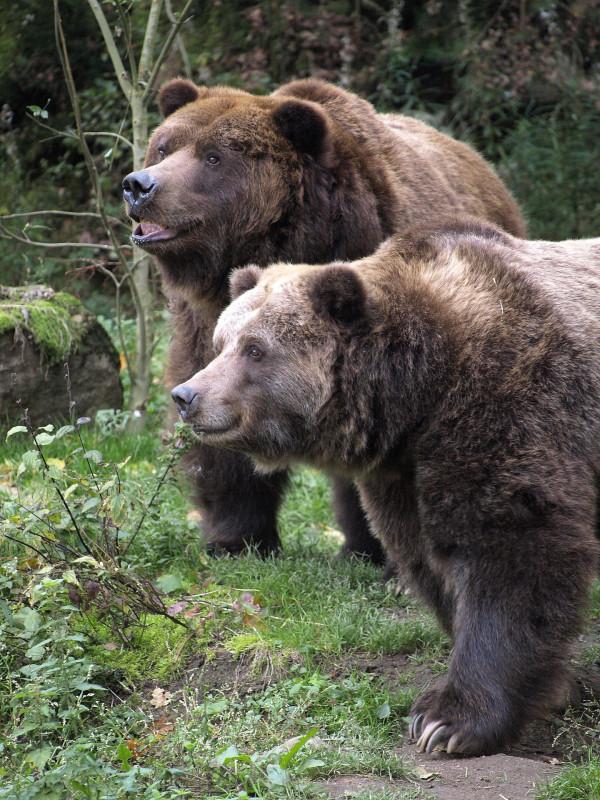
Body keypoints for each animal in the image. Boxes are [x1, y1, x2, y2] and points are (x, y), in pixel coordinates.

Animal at [123, 78, 524, 560]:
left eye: (213, 156)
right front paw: (235, 537)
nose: (139, 184)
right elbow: (220, 431)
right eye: (164, 147)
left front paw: (369, 547)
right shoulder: (203, 323)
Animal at [169, 220, 600, 756]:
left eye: (255, 348)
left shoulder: (515, 400)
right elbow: (427, 558)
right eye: (221, 340)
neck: (420, 391)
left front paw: (449, 720)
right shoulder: (402, 471)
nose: (187, 395)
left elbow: (513, 553)